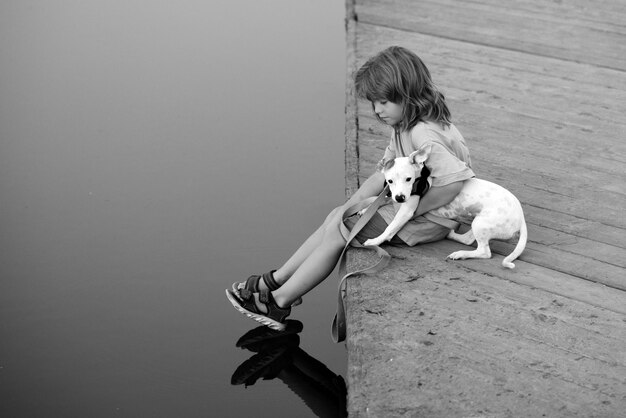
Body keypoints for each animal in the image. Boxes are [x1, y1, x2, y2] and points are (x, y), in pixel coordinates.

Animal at [360, 144, 528, 268]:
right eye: (389, 181)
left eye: (408, 179)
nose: (400, 198)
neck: (421, 179)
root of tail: (521, 219)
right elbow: (378, 200)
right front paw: (364, 209)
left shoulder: (407, 210)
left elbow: (390, 228)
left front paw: (375, 241)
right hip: (479, 222)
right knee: (468, 239)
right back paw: (453, 236)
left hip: (482, 224)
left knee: (484, 252)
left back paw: (460, 254)